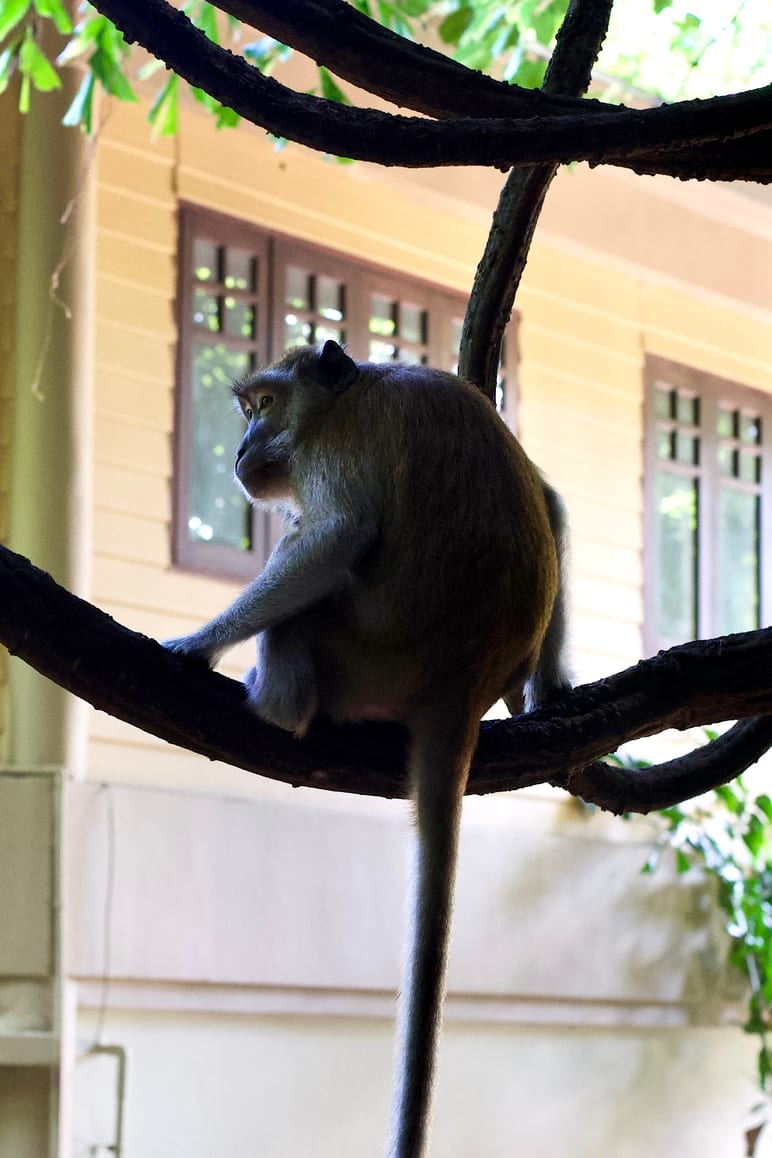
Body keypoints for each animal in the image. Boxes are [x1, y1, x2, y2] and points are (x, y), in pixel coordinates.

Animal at [164, 340, 570, 1157]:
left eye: (263, 406)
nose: (244, 448)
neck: (356, 388)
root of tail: (461, 685)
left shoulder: (341, 444)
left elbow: (337, 534)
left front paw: (197, 644)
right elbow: (551, 502)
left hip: (366, 657)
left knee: (302, 599)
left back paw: (277, 701)